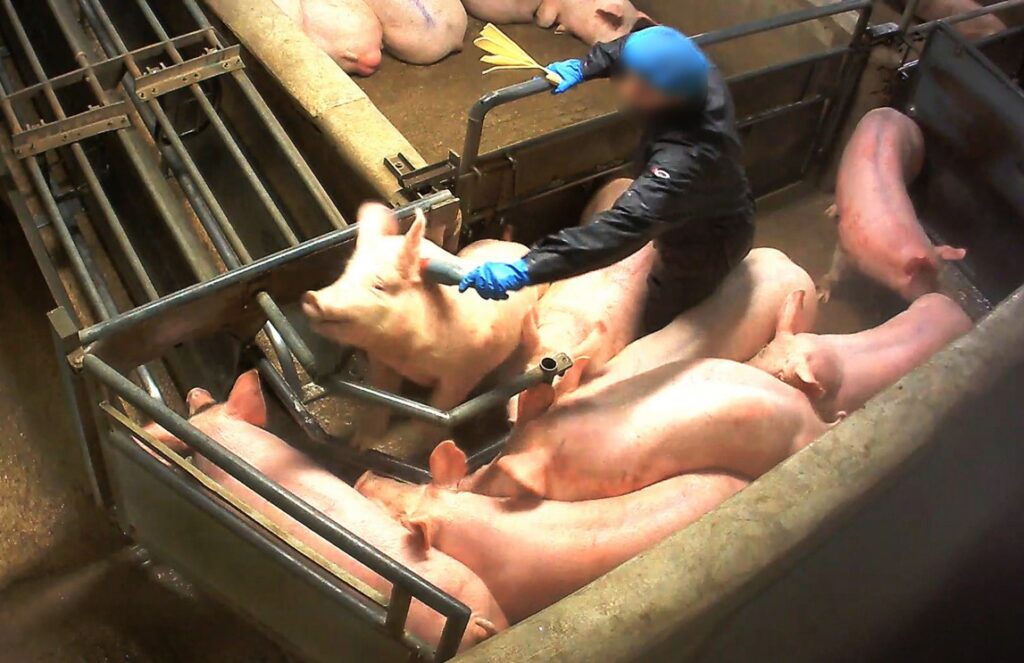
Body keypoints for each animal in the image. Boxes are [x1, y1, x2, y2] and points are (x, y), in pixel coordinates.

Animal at [301, 204, 542, 446]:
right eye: (346, 273)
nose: (312, 298)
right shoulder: (381, 361)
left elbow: (441, 409)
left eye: (380, 284)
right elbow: (380, 398)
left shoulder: (464, 372)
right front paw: (360, 444)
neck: (409, 355)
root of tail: (512, 243)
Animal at [821, 108, 966, 302]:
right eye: (929, 284)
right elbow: (836, 268)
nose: (948, 298)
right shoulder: (845, 243)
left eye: (941, 276)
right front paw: (822, 295)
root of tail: (894, 112)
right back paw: (829, 212)